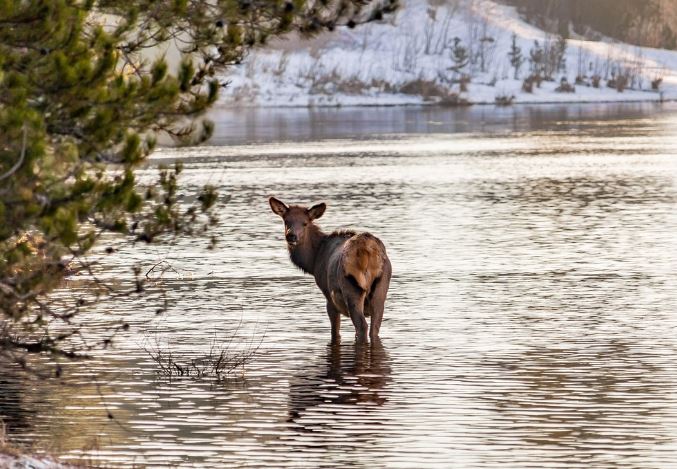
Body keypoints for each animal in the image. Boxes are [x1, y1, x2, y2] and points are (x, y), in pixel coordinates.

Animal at [269, 197, 392, 343]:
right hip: (381, 288)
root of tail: (367, 250)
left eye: (305, 223)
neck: (313, 261)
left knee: (362, 326)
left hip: (350, 287)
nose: (291, 236)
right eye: (286, 220)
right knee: (375, 328)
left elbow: (335, 331)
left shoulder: (328, 295)